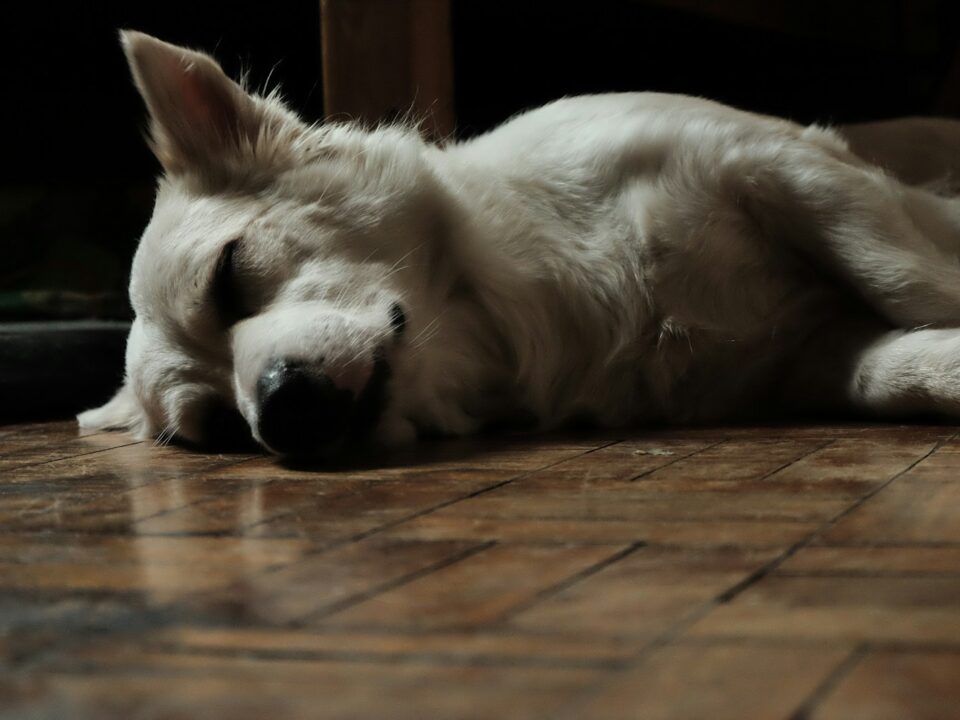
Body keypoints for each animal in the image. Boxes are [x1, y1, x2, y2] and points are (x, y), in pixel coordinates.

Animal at [80, 32, 960, 456]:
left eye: (229, 276)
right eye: (220, 431)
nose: (279, 410)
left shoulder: (786, 167)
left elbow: (908, 280)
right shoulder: (801, 356)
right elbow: (890, 368)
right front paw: (941, 368)